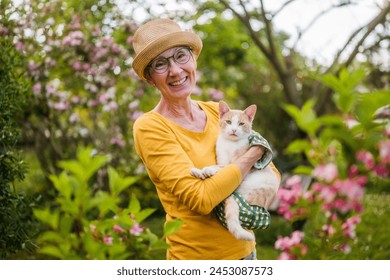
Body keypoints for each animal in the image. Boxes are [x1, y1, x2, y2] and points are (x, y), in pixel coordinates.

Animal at [190, 101, 278, 241]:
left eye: (241, 124)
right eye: (228, 122)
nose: (234, 130)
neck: (230, 144)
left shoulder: (234, 164)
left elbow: (219, 168)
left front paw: (207, 170)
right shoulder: (222, 160)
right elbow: (218, 166)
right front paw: (200, 170)